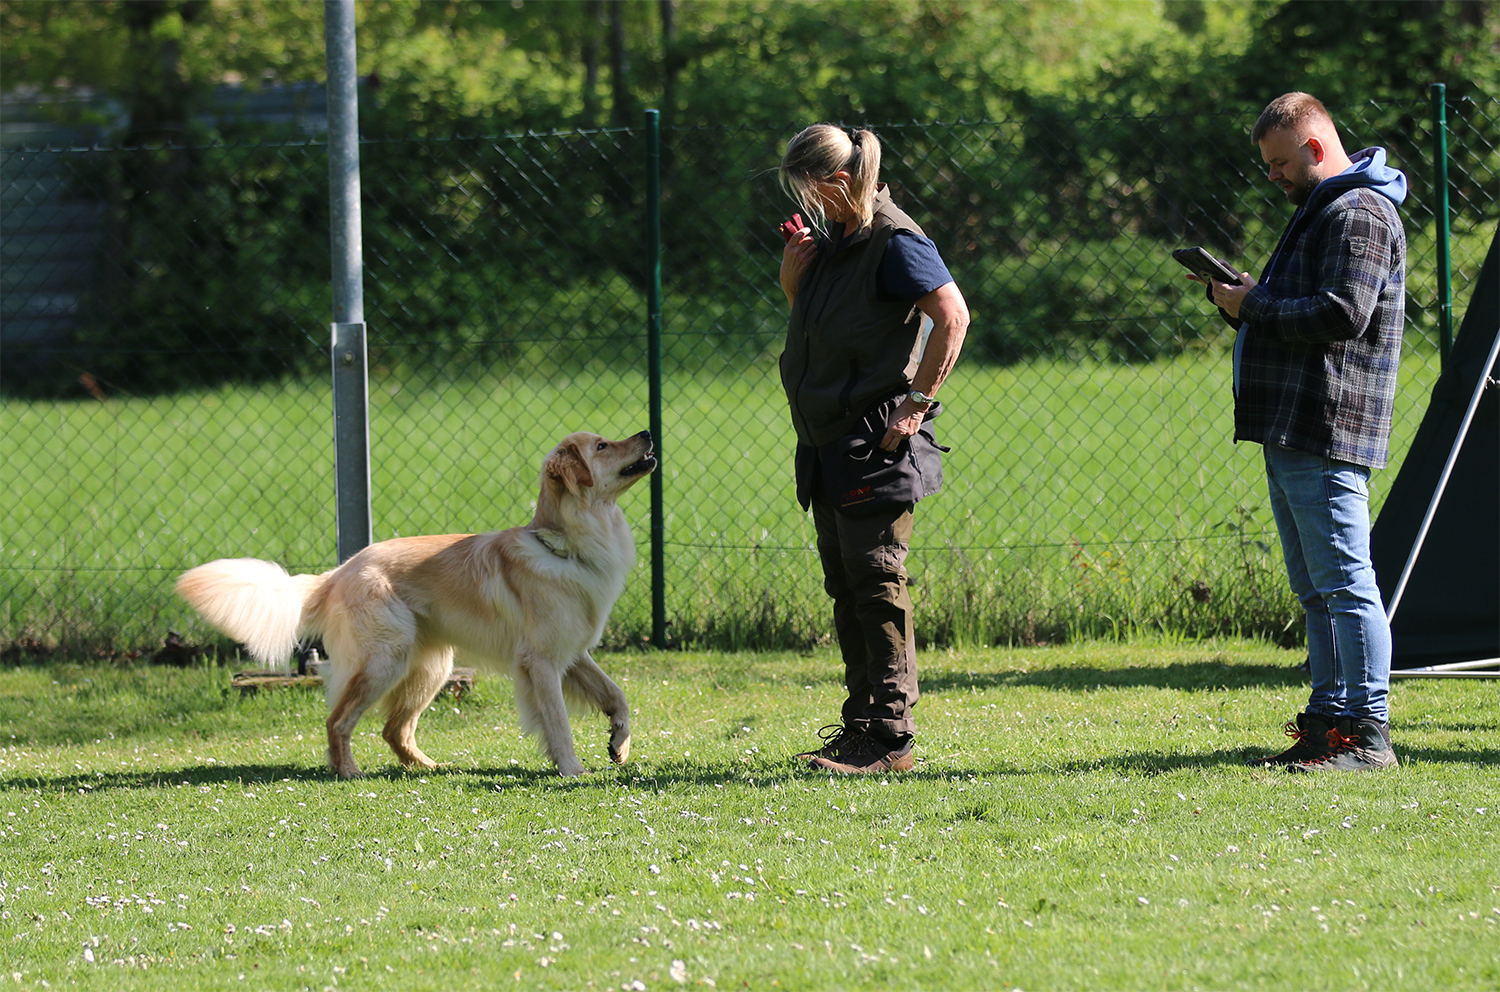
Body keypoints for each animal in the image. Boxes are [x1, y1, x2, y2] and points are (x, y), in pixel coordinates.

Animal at [175, 430, 656, 778]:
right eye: (602, 446)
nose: (648, 432)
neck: (564, 546)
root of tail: (340, 571)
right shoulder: (541, 662)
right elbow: (558, 722)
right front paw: (572, 768)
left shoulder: (572, 654)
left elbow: (617, 695)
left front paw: (619, 744)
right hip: (386, 659)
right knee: (338, 721)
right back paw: (348, 771)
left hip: (431, 667)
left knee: (394, 729)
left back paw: (429, 767)